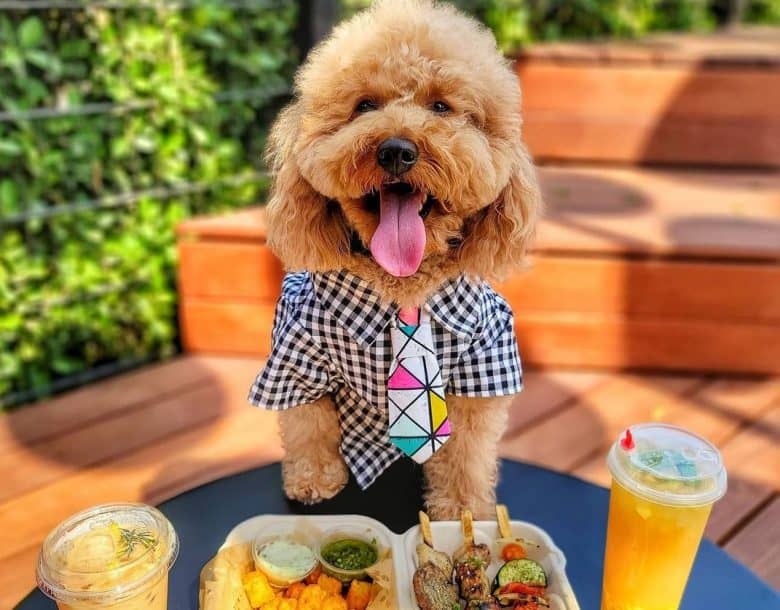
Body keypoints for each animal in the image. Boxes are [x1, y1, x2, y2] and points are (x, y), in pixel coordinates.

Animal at [258, 0, 540, 516]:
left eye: (441, 107)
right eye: (365, 106)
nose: (396, 150)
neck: (402, 288)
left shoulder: (483, 365)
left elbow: (467, 450)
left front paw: (463, 508)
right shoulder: (296, 355)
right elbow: (308, 425)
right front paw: (313, 481)